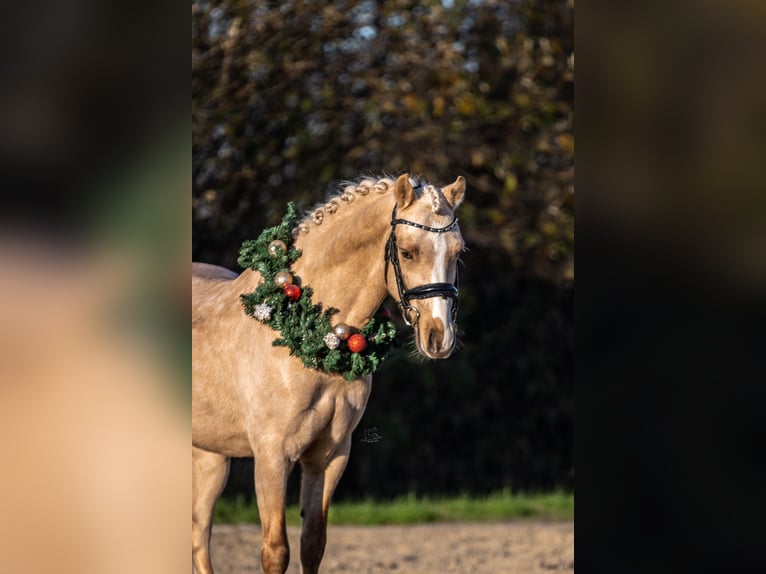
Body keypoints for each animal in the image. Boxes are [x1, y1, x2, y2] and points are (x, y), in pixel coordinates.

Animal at [192, 174, 468, 574]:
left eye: (457, 252)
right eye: (407, 252)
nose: (439, 337)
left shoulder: (329, 456)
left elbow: (312, 545)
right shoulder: (272, 456)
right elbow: (276, 550)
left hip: (210, 458)